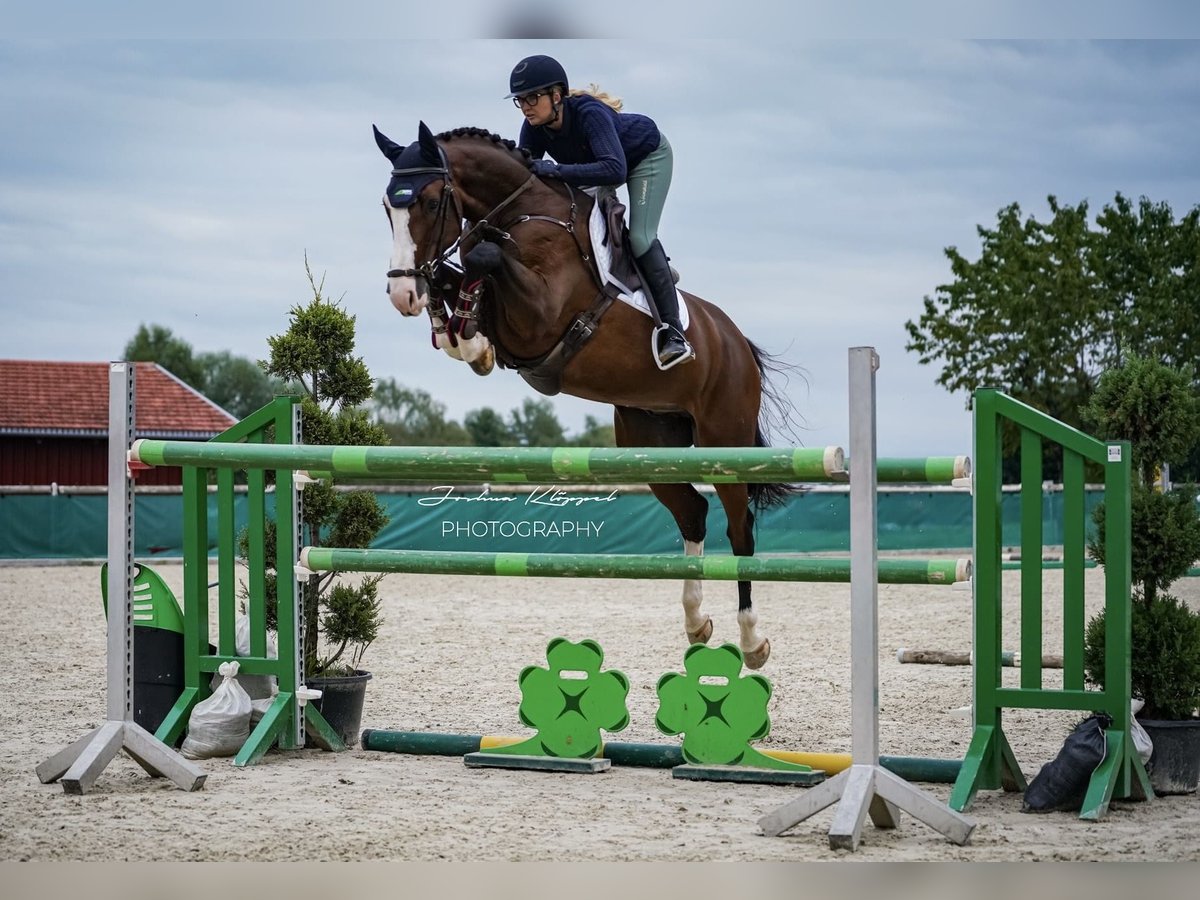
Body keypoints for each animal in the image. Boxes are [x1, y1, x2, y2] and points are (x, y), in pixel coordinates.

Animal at [374, 120, 796, 672]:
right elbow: (460, 275)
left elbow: (482, 259)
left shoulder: (540, 317)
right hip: (650, 439)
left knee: (740, 527)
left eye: (426, 202)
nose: (401, 295)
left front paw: (469, 336)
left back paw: (751, 641)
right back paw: (696, 622)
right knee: (692, 513)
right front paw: (460, 332)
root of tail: (737, 341)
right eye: (388, 207)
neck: (520, 211)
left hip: (725, 439)